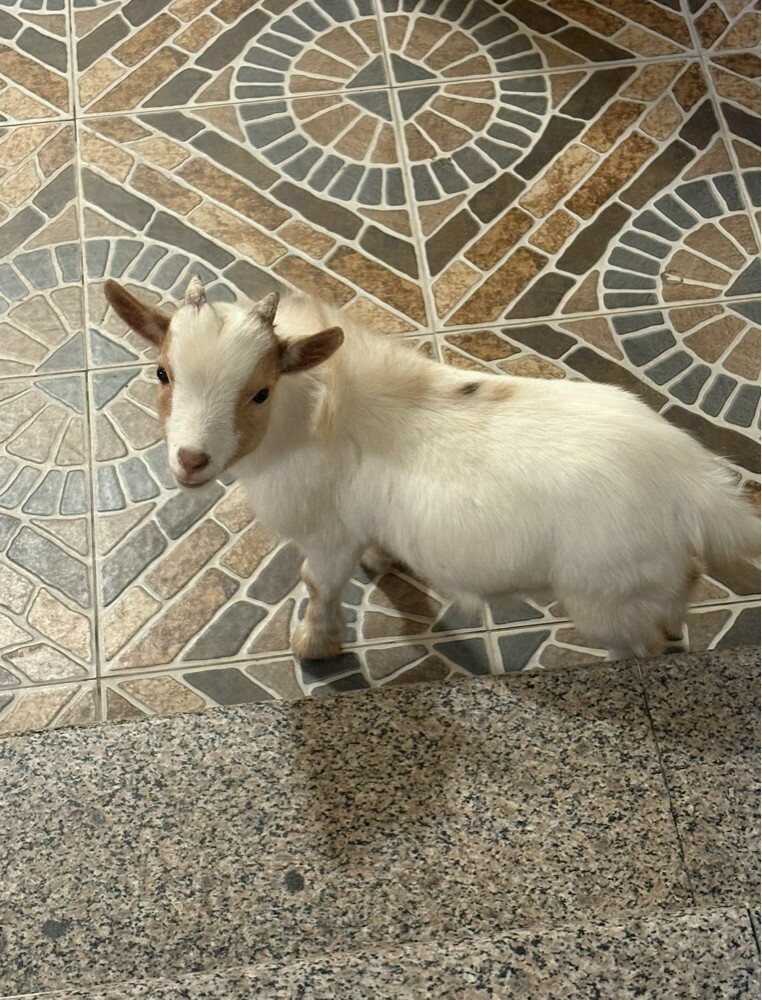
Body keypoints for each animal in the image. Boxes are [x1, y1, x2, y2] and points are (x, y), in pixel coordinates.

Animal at [104, 277, 760, 662]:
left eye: (260, 392)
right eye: (162, 373)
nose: (191, 460)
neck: (311, 420)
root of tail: (697, 485)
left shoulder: (328, 535)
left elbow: (318, 584)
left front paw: (314, 646)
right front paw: (383, 563)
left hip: (609, 596)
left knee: (646, 636)